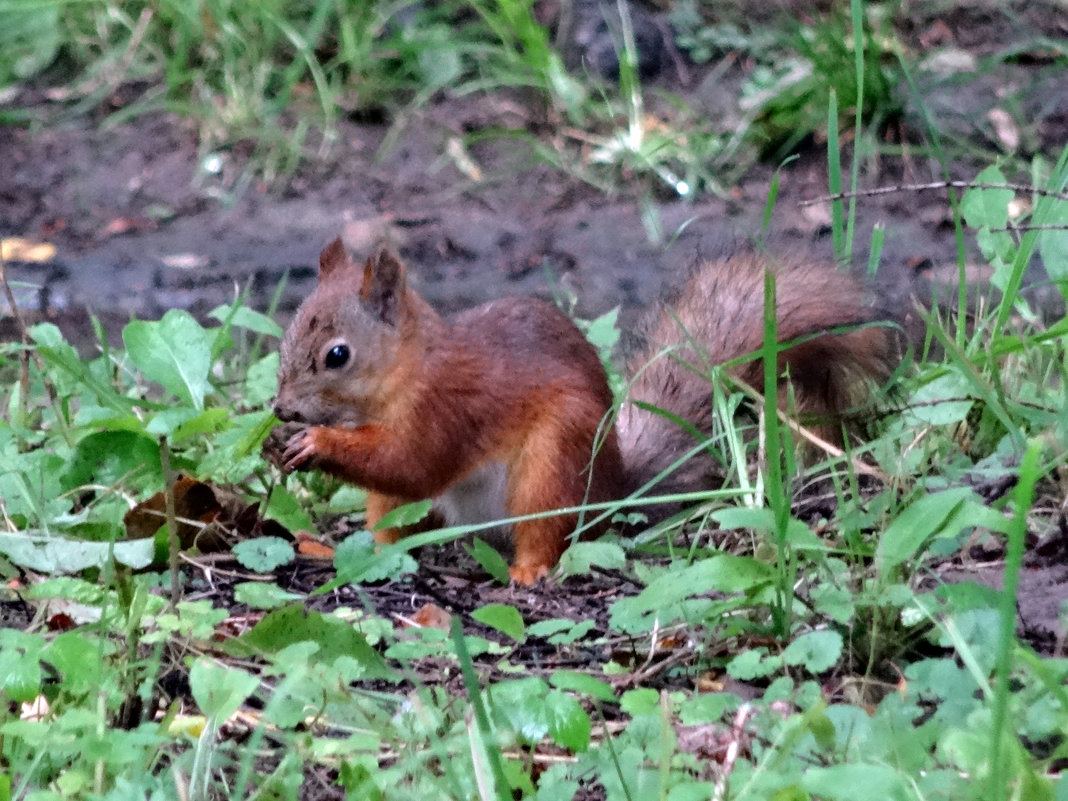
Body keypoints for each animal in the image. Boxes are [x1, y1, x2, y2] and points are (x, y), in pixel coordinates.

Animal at [273, 237, 892, 585]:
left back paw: (528, 571)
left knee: (547, 530)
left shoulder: (446, 411)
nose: (279, 410)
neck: (408, 369)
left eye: (337, 355)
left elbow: (410, 464)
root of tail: (614, 491)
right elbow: (395, 490)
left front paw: (317, 444)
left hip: (552, 466)